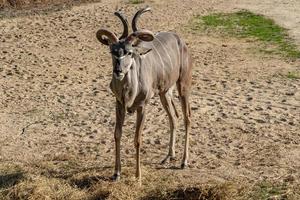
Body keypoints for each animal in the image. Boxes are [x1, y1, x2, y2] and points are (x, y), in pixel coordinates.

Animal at [96, 7, 192, 182]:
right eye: (112, 51)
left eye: (129, 52)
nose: (118, 71)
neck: (129, 91)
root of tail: (181, 41)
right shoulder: (119, 104)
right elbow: (117, 134)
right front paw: (116, 173)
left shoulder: (142, 106)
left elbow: (137, 139)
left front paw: (138, 175)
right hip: (164, 93)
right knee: (173, 117)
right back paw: (169, 156)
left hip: (183, 86)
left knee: (187, 117)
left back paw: (184, 161)